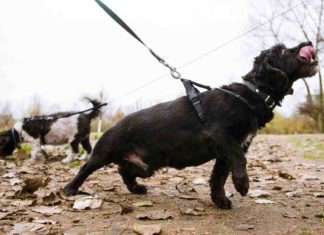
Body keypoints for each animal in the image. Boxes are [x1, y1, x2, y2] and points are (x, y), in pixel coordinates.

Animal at [64, 41, 318, 208]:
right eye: (283, 50)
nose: (308, 43)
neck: (252, 92)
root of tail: (113, 124)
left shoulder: (225, 150)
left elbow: (218, 177)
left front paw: (221, 201)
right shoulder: (221, 136)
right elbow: (239, 161)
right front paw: (242, 185)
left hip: (145, 166)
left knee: (123, 170)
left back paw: (136, 189)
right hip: (103, 153)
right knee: (86, 168)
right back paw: (69, 189)